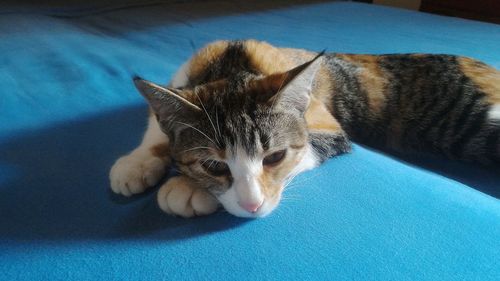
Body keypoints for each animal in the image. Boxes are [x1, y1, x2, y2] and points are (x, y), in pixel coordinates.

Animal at [109, 39, 500, 218]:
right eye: (214, 165)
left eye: (274, 157)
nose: (254, 205)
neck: (230, 64)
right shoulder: (183, 76)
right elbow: (157, 123)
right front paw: (138, 162)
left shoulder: (326, 127)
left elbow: (308, 149)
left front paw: (188, 190)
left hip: (466, 121)